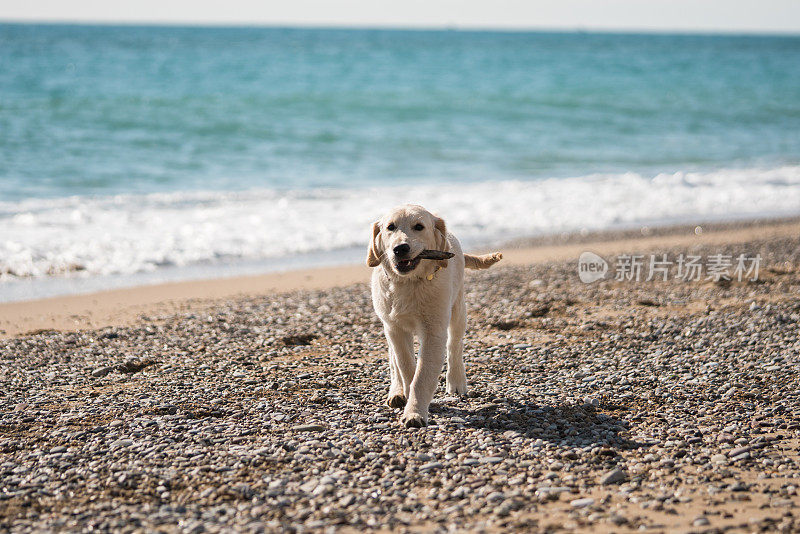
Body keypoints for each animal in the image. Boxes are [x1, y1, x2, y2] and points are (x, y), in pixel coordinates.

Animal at [368, 203, 500, 430]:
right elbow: (405, 367)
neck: (409, 283)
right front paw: (406, 395)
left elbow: (422, 376)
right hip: (388, 325)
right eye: (390, 227)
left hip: (457, 310)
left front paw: (414, 413)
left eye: (419, 227)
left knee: (455, 345)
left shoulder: (433, 332)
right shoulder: (395, 328)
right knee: (393, 359)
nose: (400, 248)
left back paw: (456, 381)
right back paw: (396, 392)